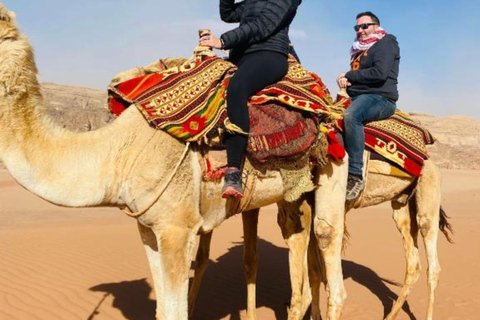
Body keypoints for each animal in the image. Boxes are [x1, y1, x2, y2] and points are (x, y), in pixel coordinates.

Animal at [0, 4, 346, 318]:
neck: (119, 153)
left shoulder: (177, 229)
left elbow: (175, 310)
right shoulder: (148, 227)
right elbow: (163, 308)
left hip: (334, 168)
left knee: (327, 250)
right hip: (297, 192)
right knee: (302, 250)